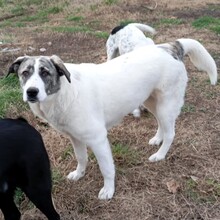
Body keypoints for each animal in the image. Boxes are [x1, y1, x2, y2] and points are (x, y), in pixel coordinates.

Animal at [8, 38, 217, 200]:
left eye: (45, 73)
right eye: (25, 73)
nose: (31, 92)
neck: (64, 92)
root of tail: (171, 47)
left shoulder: (98, 139)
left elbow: (106, 168)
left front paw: (108, 190)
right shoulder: (75, 137)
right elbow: (81, 158)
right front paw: (79, 174)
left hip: (166, 105)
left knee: (171, 133)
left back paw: (160, 154)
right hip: (151, 101)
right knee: (161, 124)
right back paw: (157, 139)